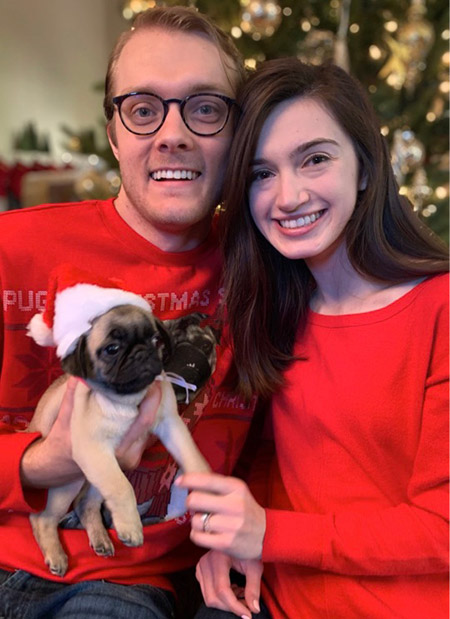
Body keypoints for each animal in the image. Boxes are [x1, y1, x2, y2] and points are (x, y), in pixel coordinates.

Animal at [28, 306, 211, 576]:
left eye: (155, 340)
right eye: (112, 349)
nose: (141, 353)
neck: (127, 400)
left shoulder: (171, 425)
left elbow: (191, 454)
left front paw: (207, 484)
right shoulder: (93, 449)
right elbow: (122, 487)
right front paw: (131, 526)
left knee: (85, 504)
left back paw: (100, 538)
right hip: (69, 480)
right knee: (43, 518)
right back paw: (56, 556)